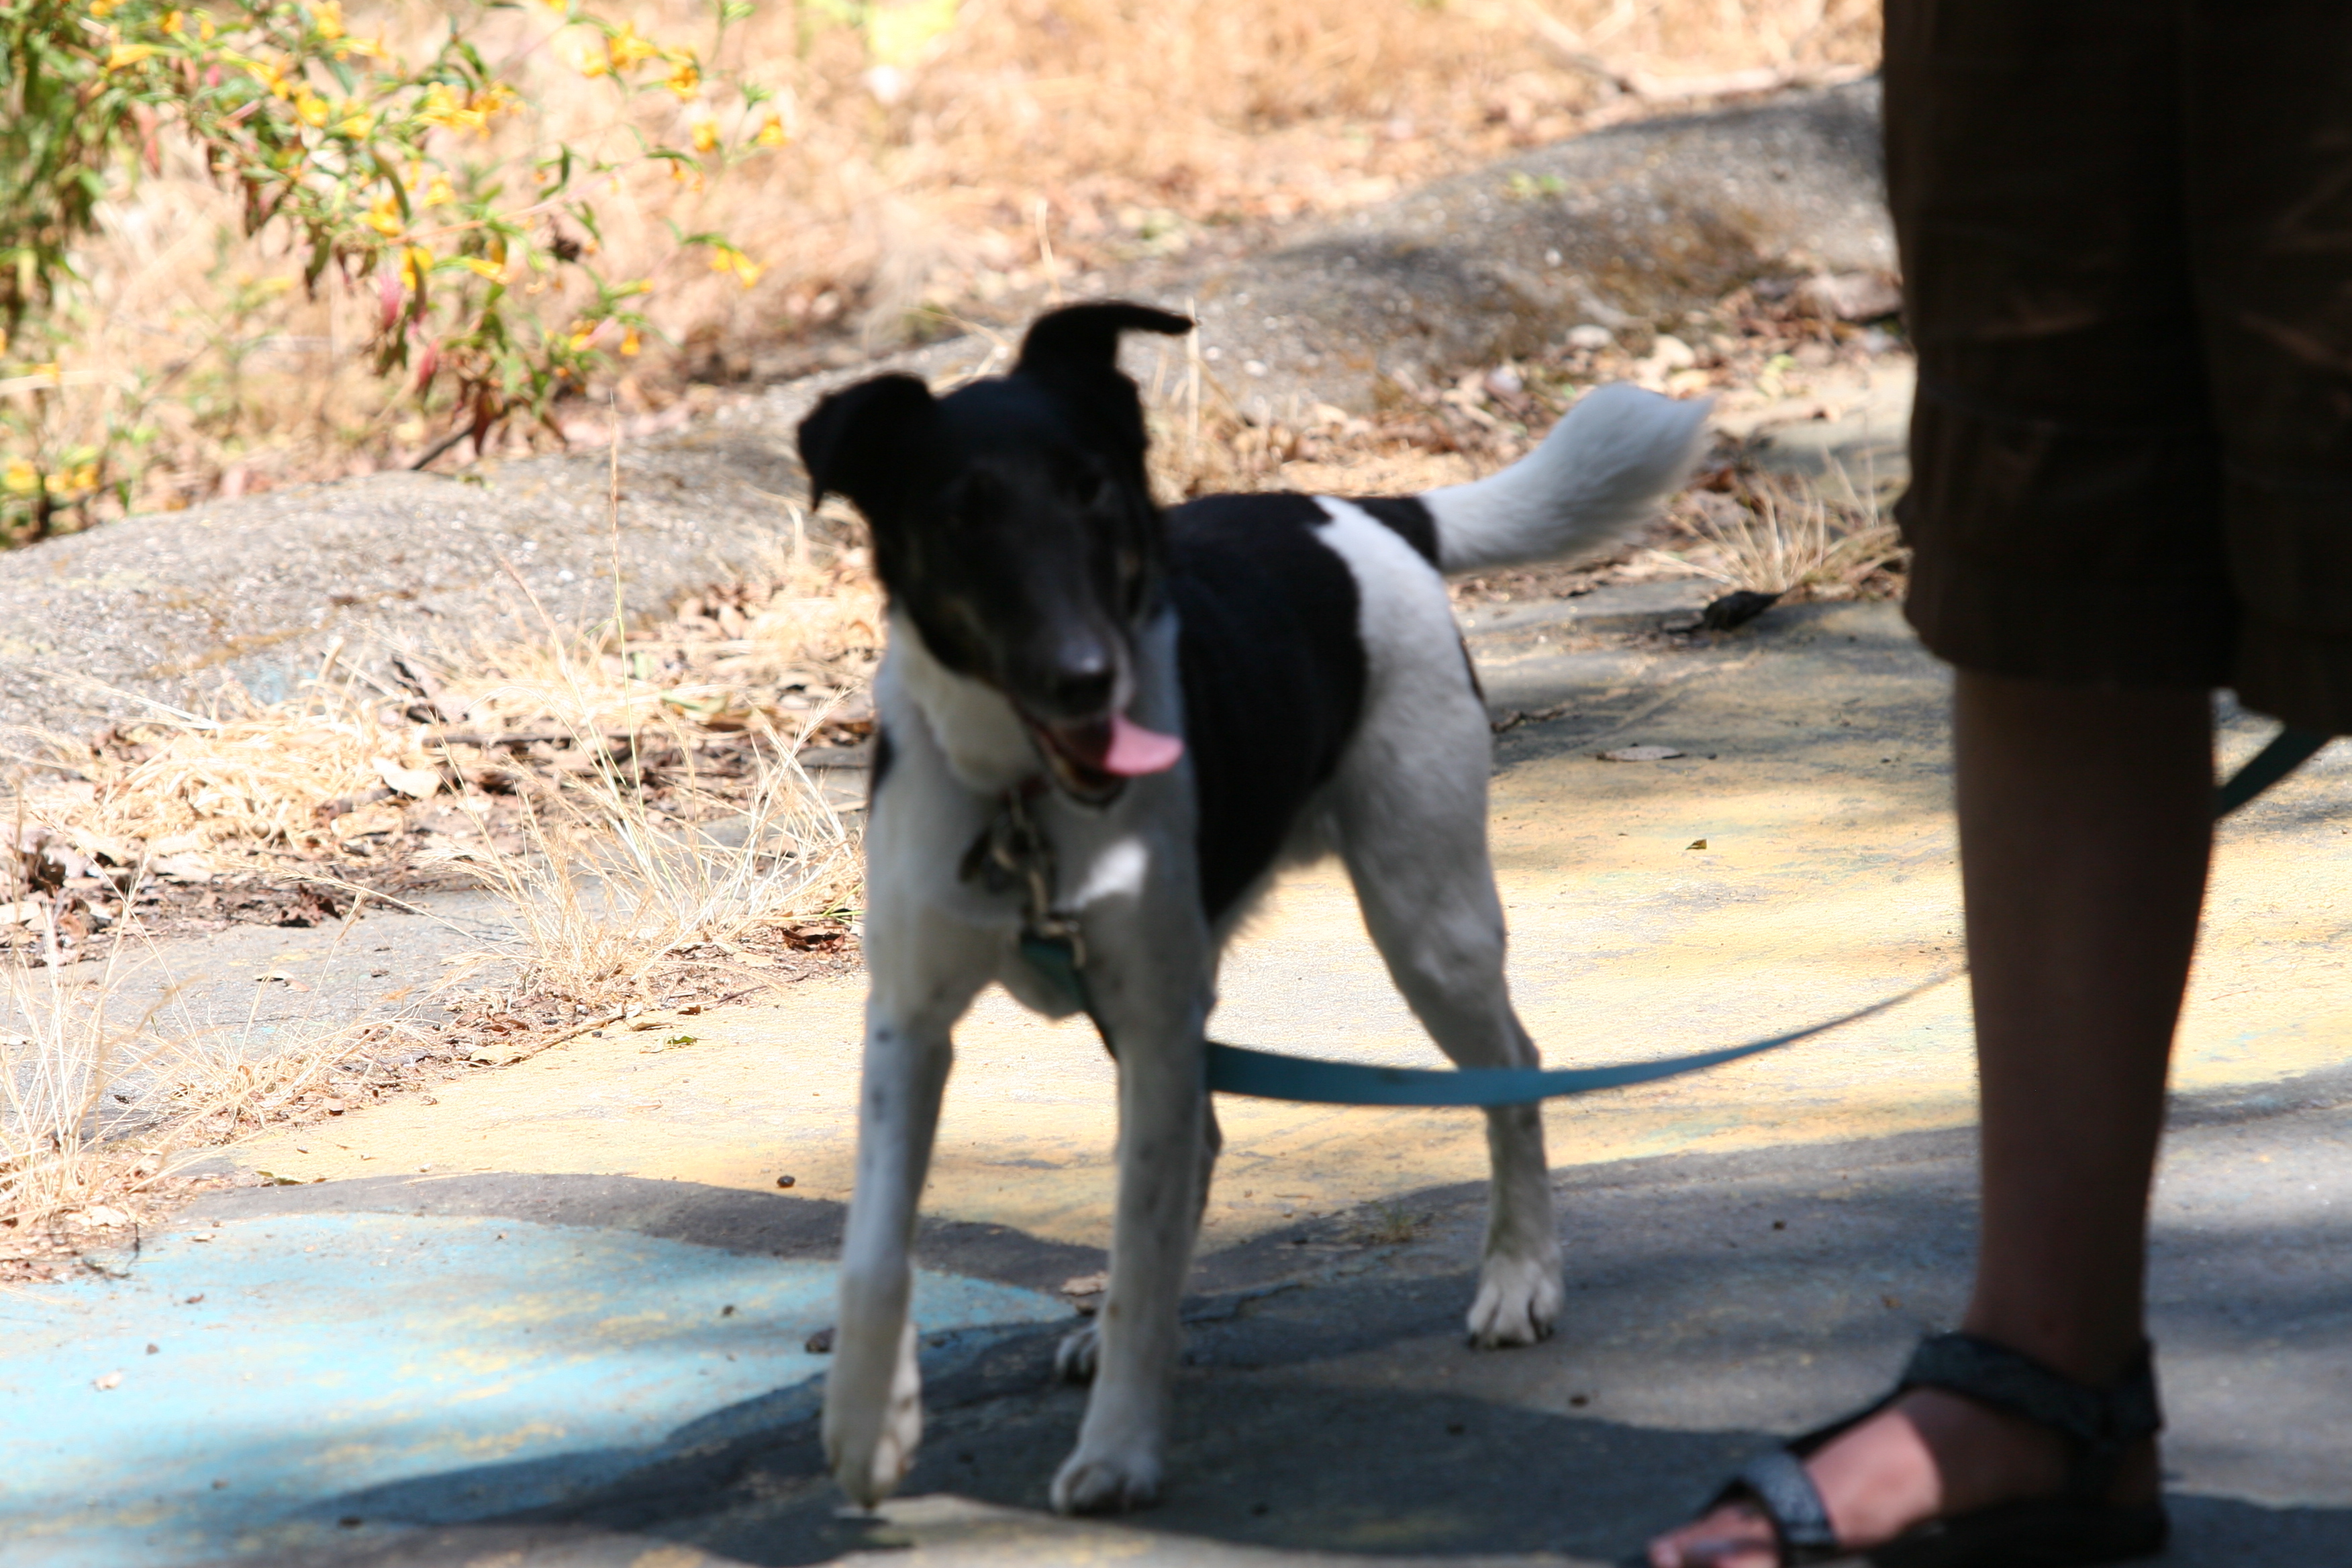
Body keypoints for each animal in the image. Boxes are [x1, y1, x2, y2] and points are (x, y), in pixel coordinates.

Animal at [798, 302, 1710, 1515]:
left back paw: (1520, 1275)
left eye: (1093, 490)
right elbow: (871, 1247)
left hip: (1426, 919)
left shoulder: (1151, 1017)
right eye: (960, 517)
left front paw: (1119, 1447)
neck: (1024, 796)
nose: (1085, 676)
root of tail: (1365, 511)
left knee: (1512, 1070)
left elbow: (1140, 1247)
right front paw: (868, 1422)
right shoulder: (910, 1025)